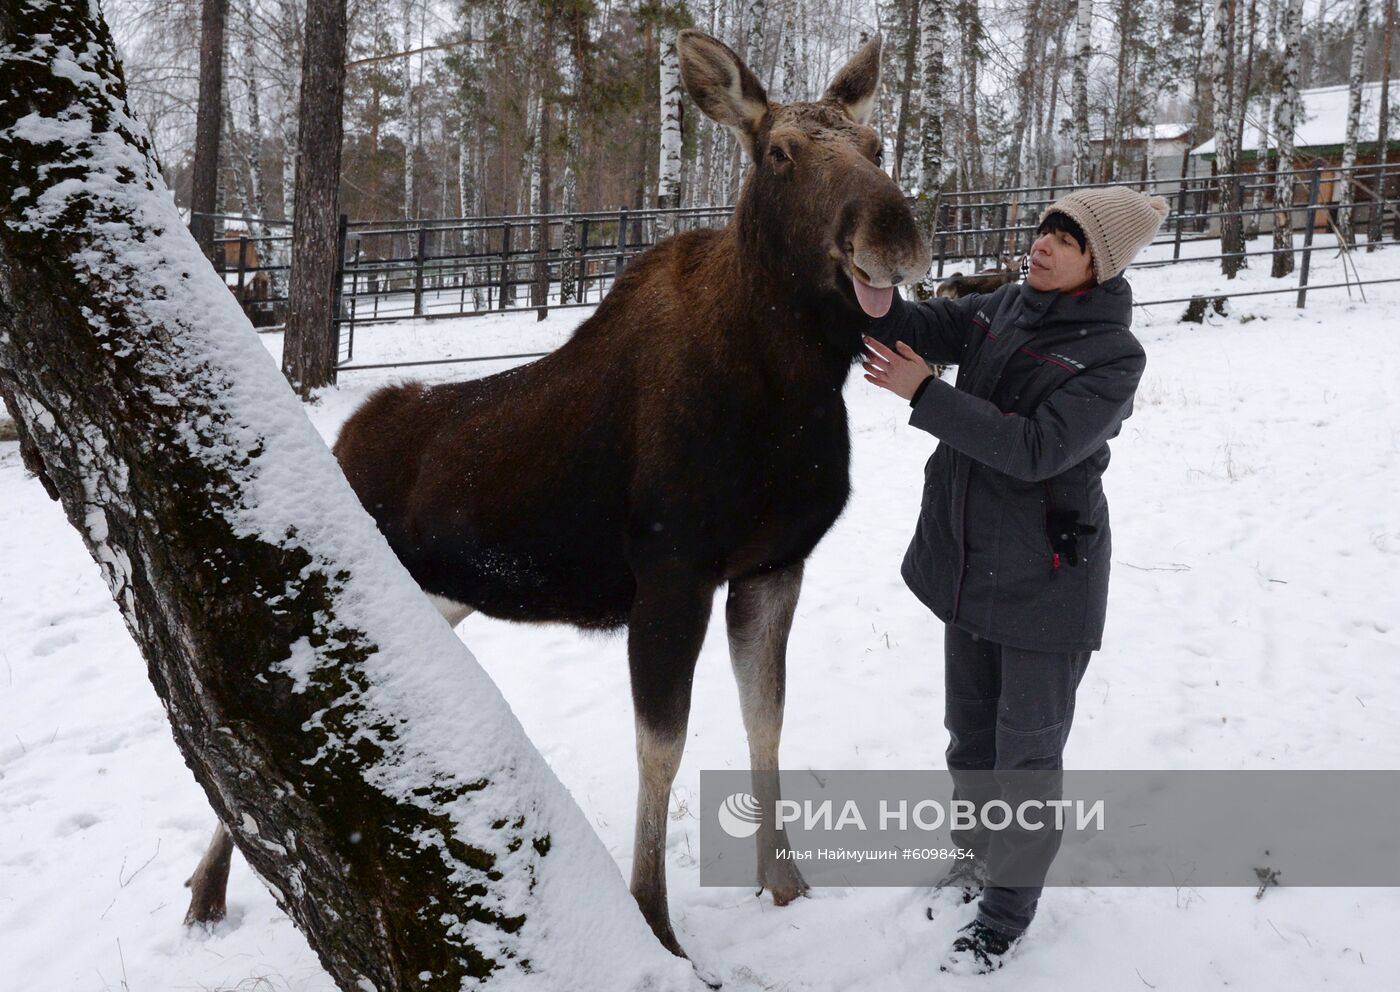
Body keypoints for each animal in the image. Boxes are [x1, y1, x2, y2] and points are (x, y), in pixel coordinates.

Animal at [183, 29, 929, 968]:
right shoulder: (673, 572)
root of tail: (347, 437)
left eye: (877, 145)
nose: (895, 233)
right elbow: (662, 747)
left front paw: (786, 886)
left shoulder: (774, 564)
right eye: (781, 153)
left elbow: (766, 720)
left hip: (439, 593)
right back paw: (207, 888)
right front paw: (657, 923)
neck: (792, 391)